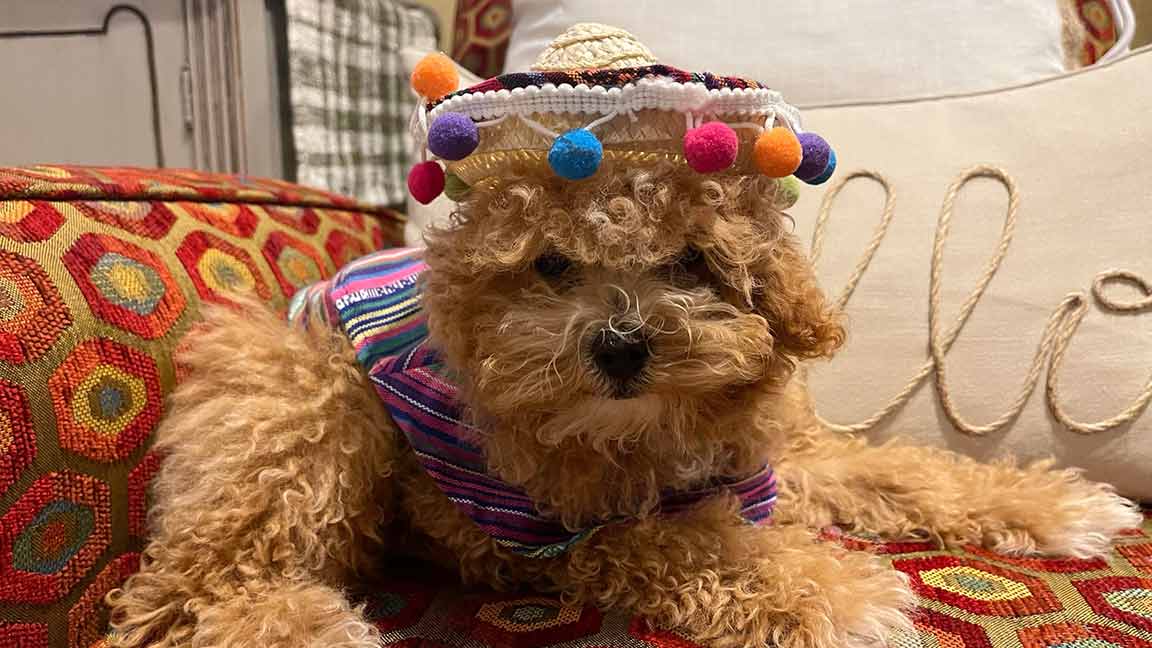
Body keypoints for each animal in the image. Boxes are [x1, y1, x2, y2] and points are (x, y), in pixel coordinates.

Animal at [110, 164, 1142, 645]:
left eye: (690, 259)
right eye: (550, 265)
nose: (618, 345)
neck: (665, 431)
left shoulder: (787, 461)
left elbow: (904, 469)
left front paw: (1054, 505)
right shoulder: (537, 531)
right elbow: (689, 541)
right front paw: (833, 591)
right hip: (309, 403)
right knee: (187, 591)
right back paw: (311, 624)